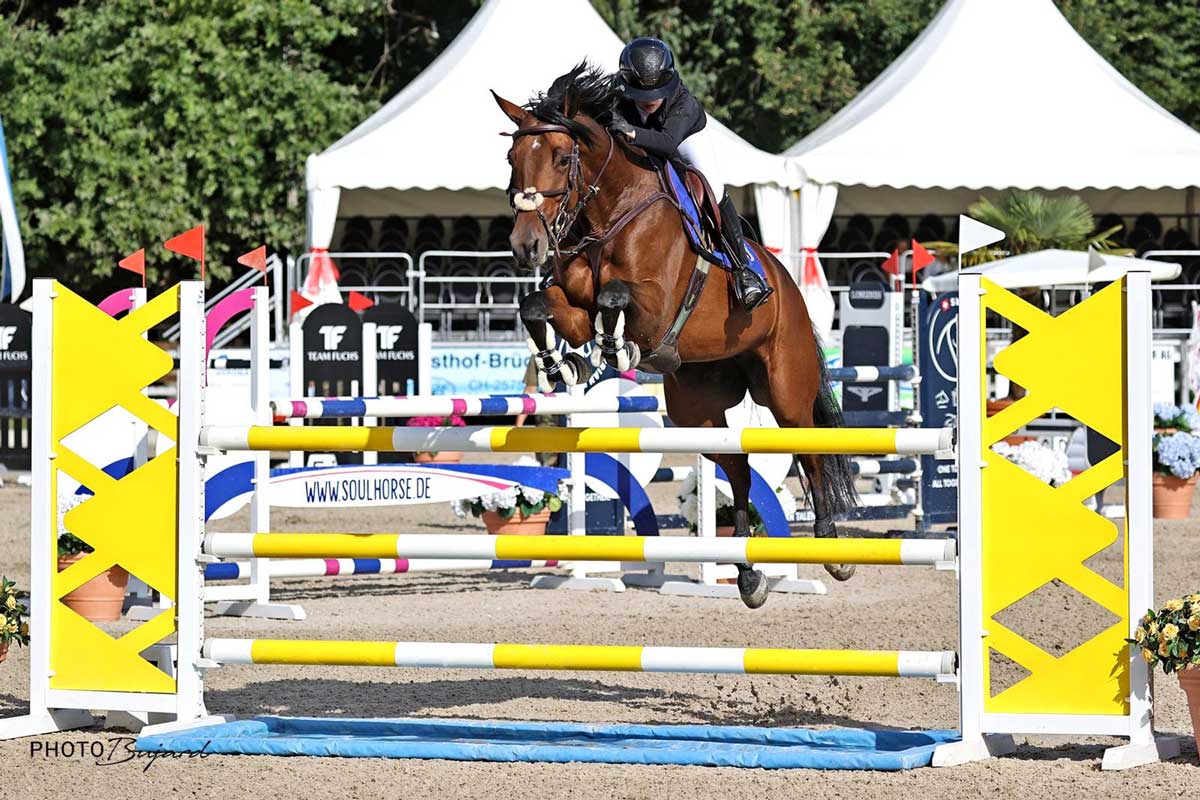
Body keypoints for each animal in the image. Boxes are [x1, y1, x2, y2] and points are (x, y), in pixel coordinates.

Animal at [493, 64, 857, 608]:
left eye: (560, 156)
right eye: (512, 158)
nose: (526, 245)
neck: (609, 214)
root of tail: (788, 286)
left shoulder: (657, 306)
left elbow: (614, 299)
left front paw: (615, 348)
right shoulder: (570, 304)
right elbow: (540, 305)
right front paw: (565, 365)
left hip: (785, 391)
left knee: (810, 452)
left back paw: (832, 548)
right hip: (697, 410)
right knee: (738, 469)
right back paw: (747, 575)